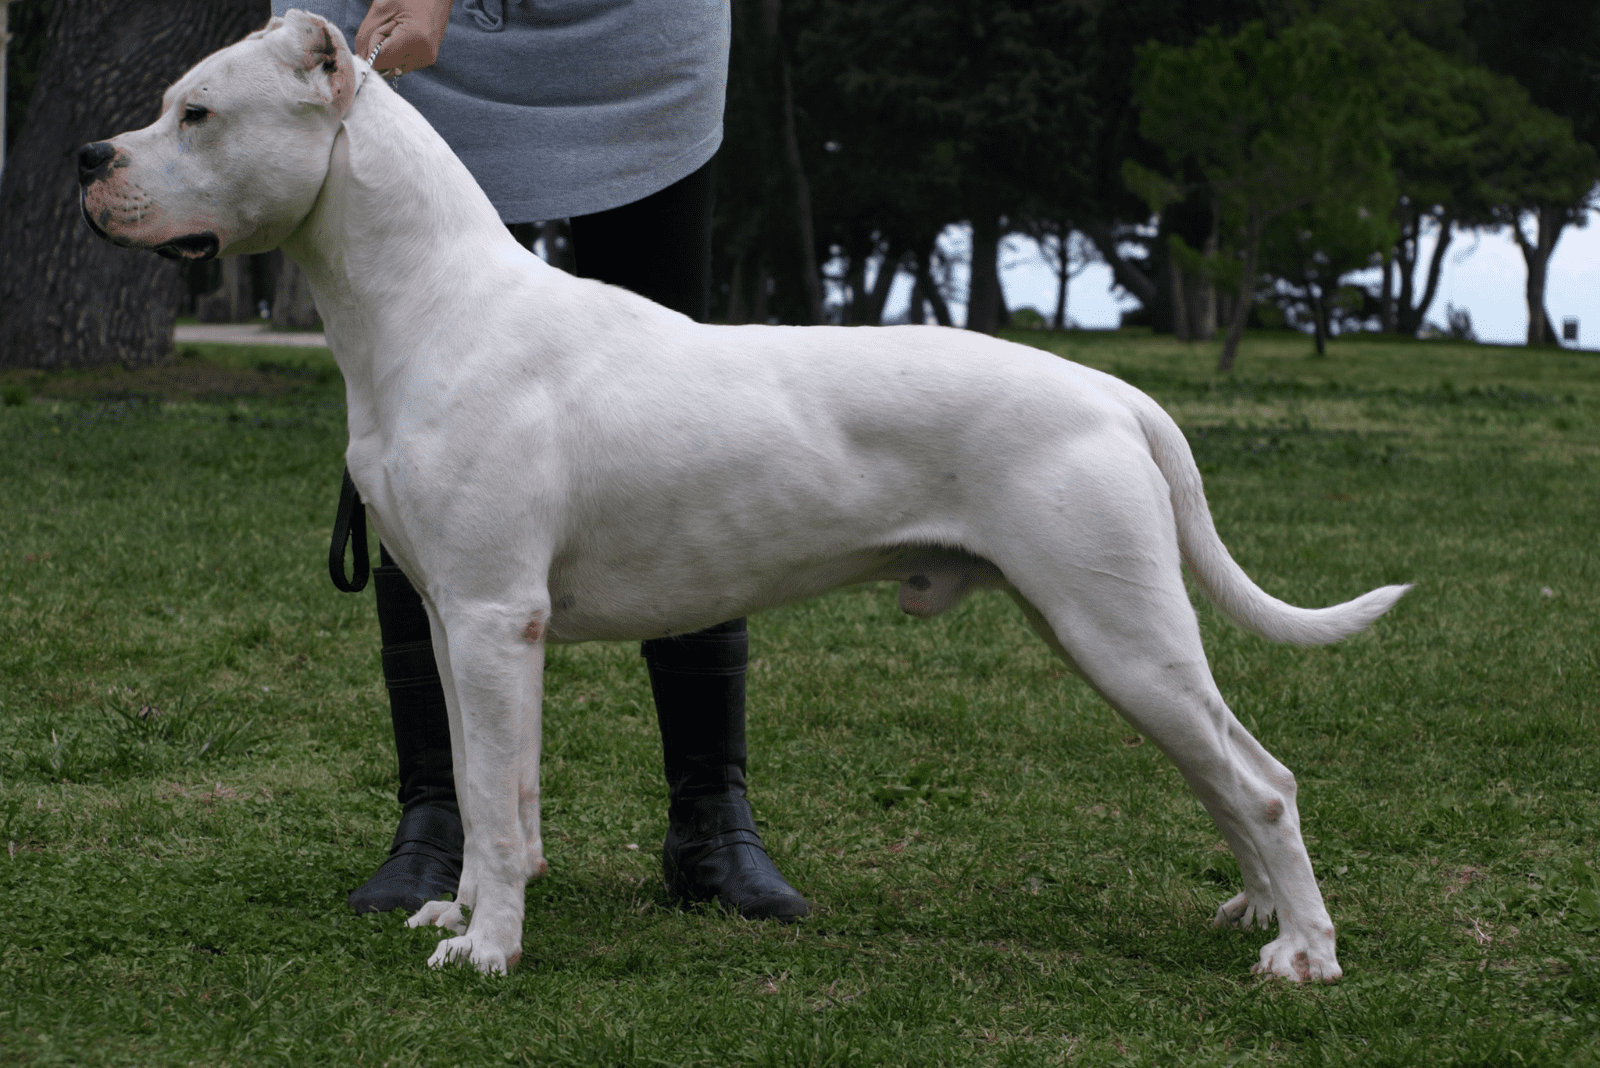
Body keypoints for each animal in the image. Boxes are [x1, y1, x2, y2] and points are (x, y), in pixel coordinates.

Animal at [78, 14, 1401, 984]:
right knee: (1223, 773)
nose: (91, 161)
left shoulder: (497, 618)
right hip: (1104, 632)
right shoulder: (457, 622)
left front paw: (490, 952)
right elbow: (484, 784)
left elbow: (496, 808)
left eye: (197, 111)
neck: (429, 301)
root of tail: (1116, 392)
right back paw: (1254, 914)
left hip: (1116, 626)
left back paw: (1305, 955)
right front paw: (459, 915)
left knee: (1260, 782)